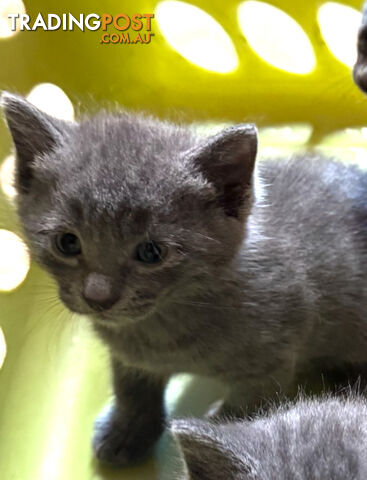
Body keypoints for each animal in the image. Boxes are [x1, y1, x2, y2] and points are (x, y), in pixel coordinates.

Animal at [2, 92, 367, 466]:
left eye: (151, 252)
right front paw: (127, 430)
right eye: (67, 243)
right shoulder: (128, 355)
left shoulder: (273, 359)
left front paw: (219, 436)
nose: (98, 297)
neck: (162, 327)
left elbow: (246, 407)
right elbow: (130, 388)